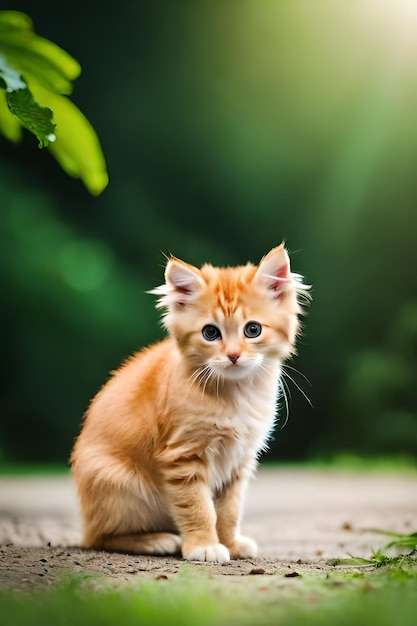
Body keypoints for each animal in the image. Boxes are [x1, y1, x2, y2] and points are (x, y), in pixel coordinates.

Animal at [70, 243, 308, 560]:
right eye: (211, 333)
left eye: (253, 330)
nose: (233, 355)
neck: (236, 394)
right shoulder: (183, 456)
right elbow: (198, 507)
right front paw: (204, 546)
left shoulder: (238, 463)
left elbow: (229, 511)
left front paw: (229, 543)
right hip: (119, 485)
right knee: (100, 538)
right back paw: (155, 540)